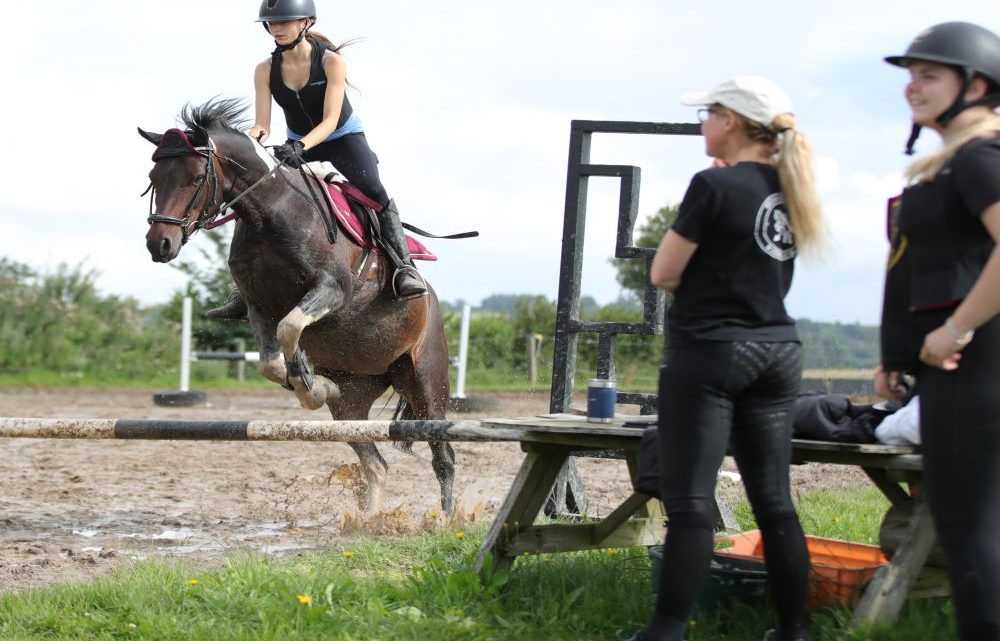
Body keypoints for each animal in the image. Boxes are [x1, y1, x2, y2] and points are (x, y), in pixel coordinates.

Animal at [139, 99, 456, 516]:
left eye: (194, 179)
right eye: (154, 176)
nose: (159, 244)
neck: (271, 212)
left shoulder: (331, 290)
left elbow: (290, 328)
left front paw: (308, 383)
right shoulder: (258, 306)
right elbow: (271, 362)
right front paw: (313, 385)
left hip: (425, 380)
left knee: (443, 456)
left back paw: (446, 521)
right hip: (356, 395)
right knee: (375, 461)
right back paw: (369, 520)